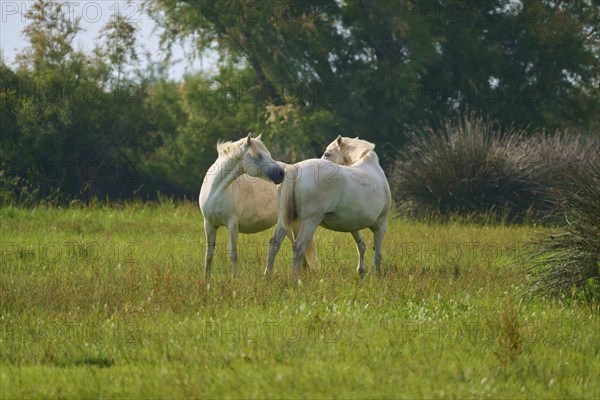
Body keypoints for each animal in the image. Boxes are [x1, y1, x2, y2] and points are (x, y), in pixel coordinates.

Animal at [199, 133, 316, 276]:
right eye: (258, 155)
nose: (281, 173)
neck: (216, 192)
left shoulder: (232, 224)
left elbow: (233, 255)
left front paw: (233, 278)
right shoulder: (209, 224)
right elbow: (209, 255)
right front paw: (207, 279)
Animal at [264, 136, 392, 276]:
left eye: (327, 154)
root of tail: (295, 168)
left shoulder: (353, 225)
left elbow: (361, 246)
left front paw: (361, 271)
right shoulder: (381, 225)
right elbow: (377, 255)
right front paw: (378, 275)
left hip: (285, 220)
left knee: (275, 243)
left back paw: (267, 275)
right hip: (310, 222)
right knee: (298, 247)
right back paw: (294, 278)